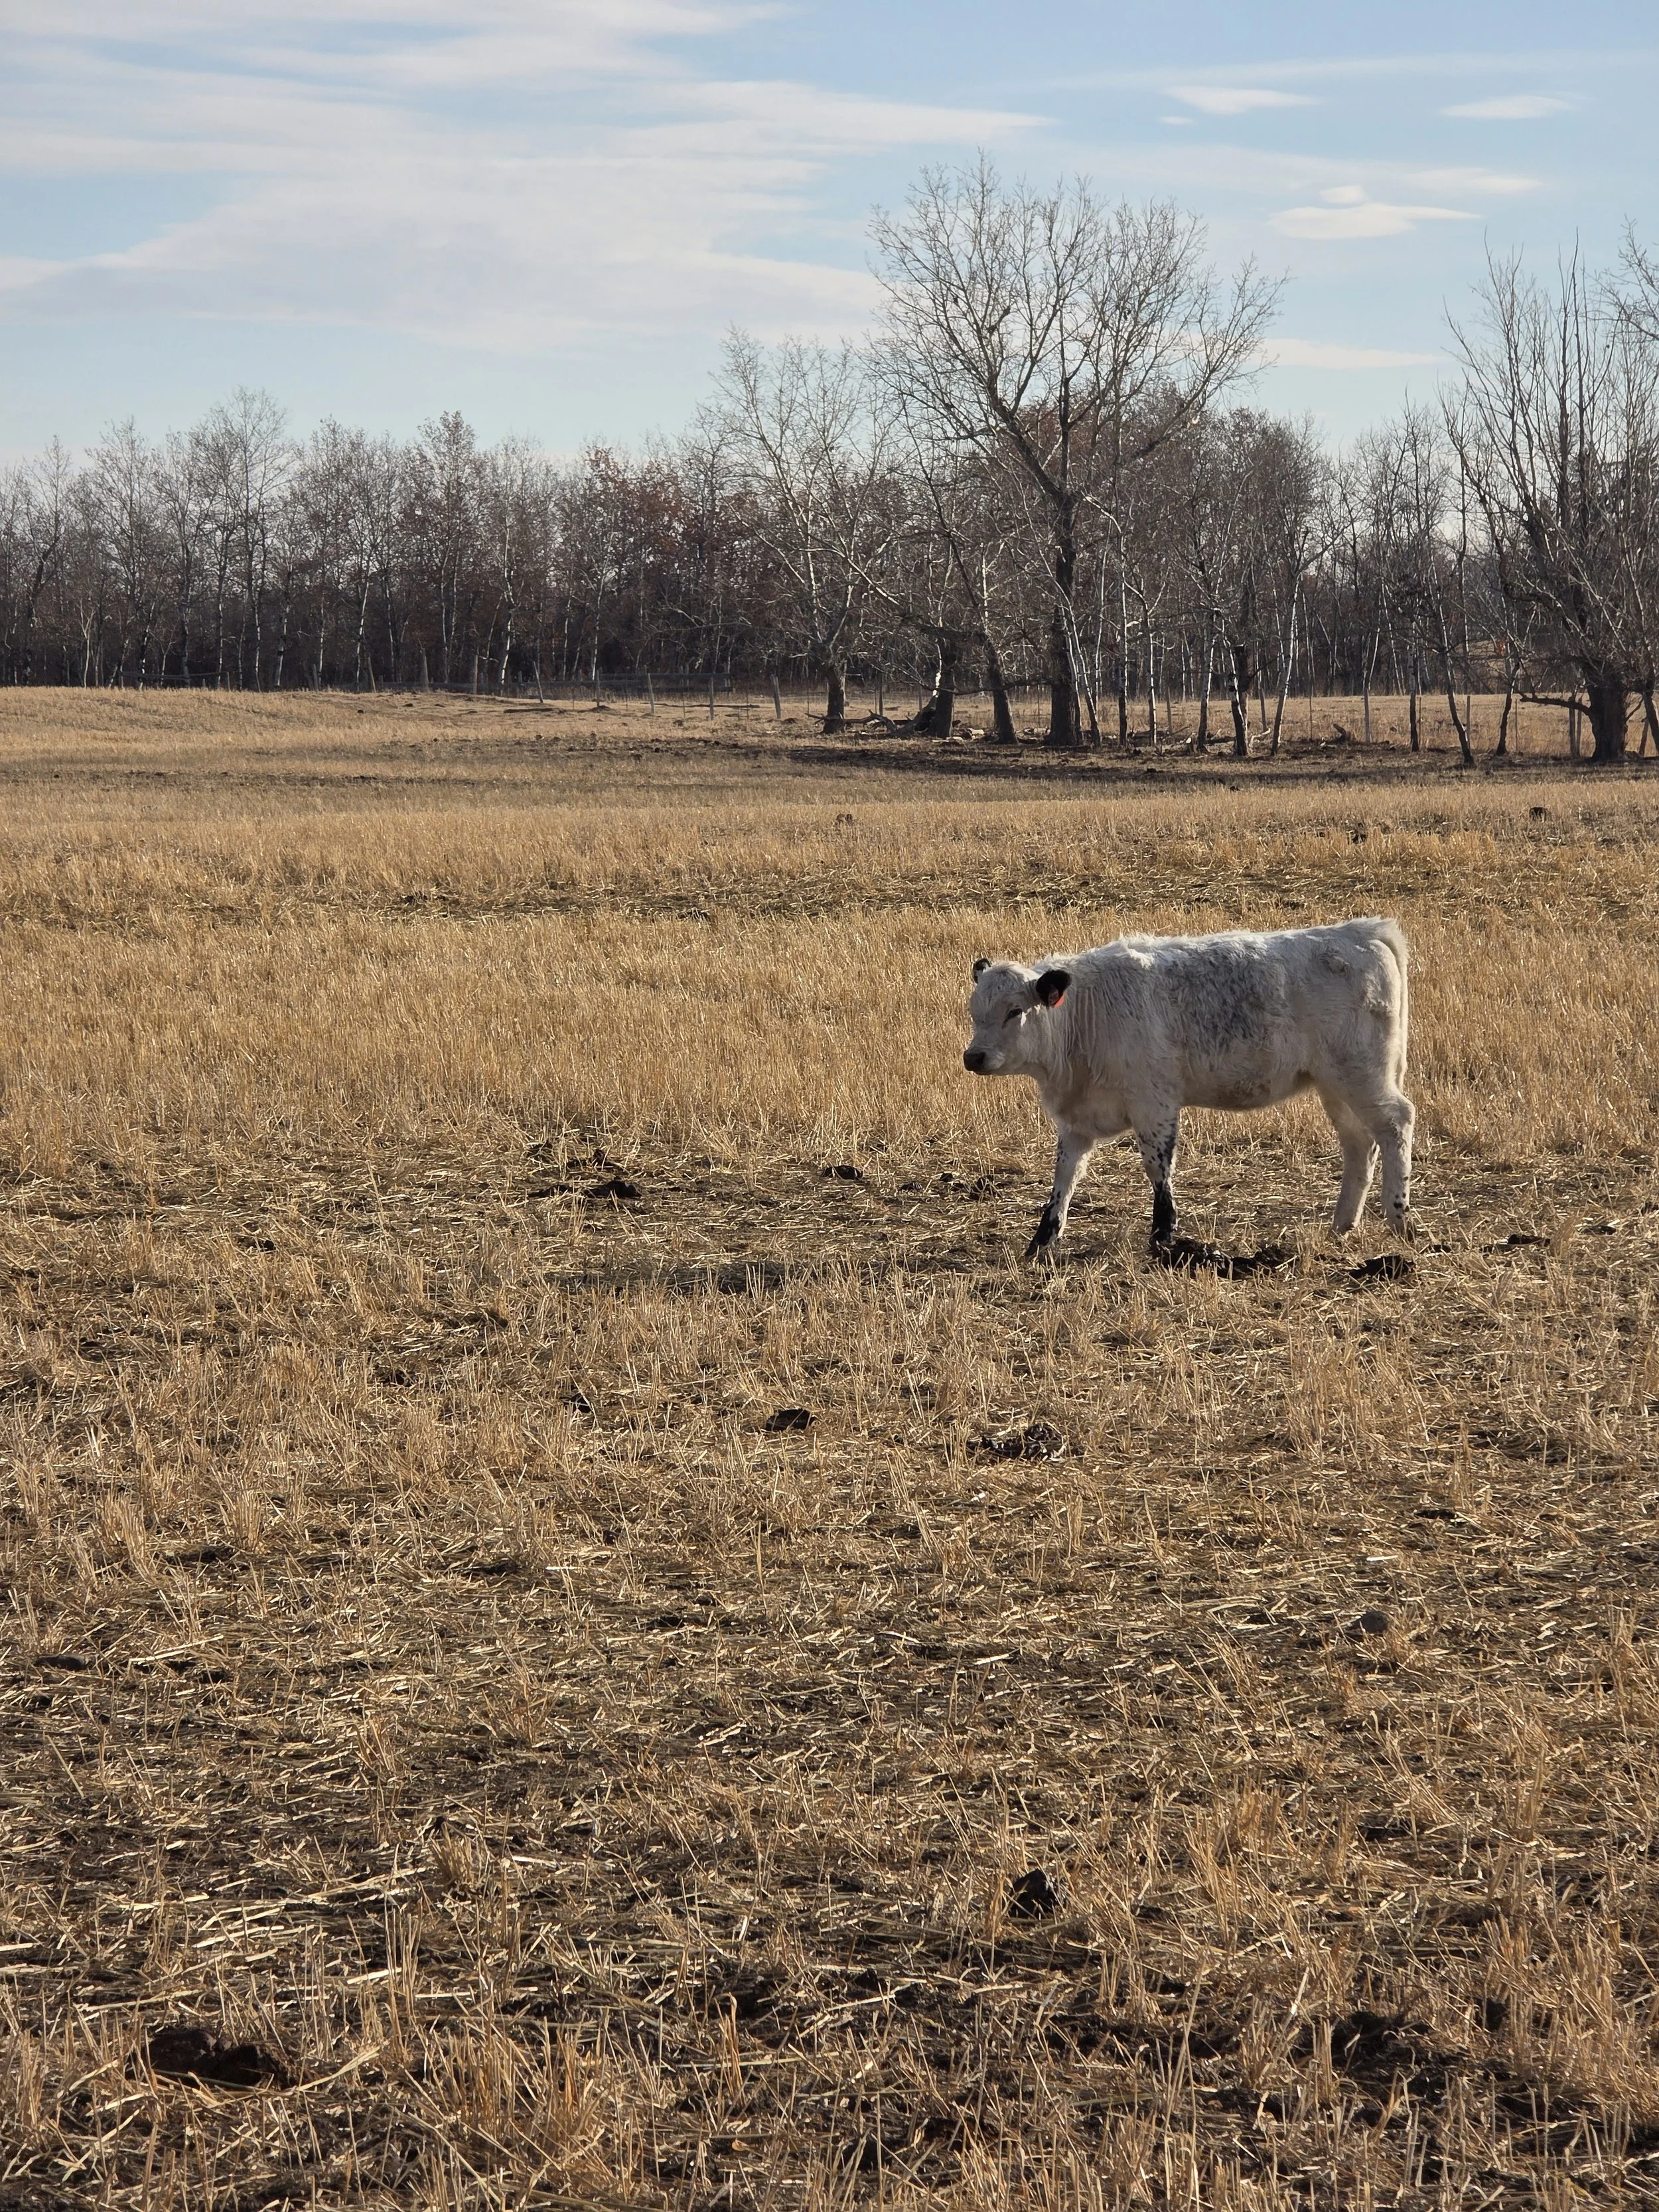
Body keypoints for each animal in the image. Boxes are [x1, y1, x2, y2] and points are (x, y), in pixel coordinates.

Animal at [962, 917, 1414, 1257]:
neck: (1086, 1013)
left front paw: (1163, 1233)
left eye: (1016, 1011)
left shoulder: (1154, 1103)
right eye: (974, 1011)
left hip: (1362, 1074)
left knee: (1396, 1123)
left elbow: (1157, 1166)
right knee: (1360, 1143)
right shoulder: (1076, 1121)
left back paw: (1399, 1218)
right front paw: (1042, 1240)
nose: (973, 1057)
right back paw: (1343, 1224)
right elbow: (1065, 1176)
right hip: (1336, 1086)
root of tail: (1361, 931)